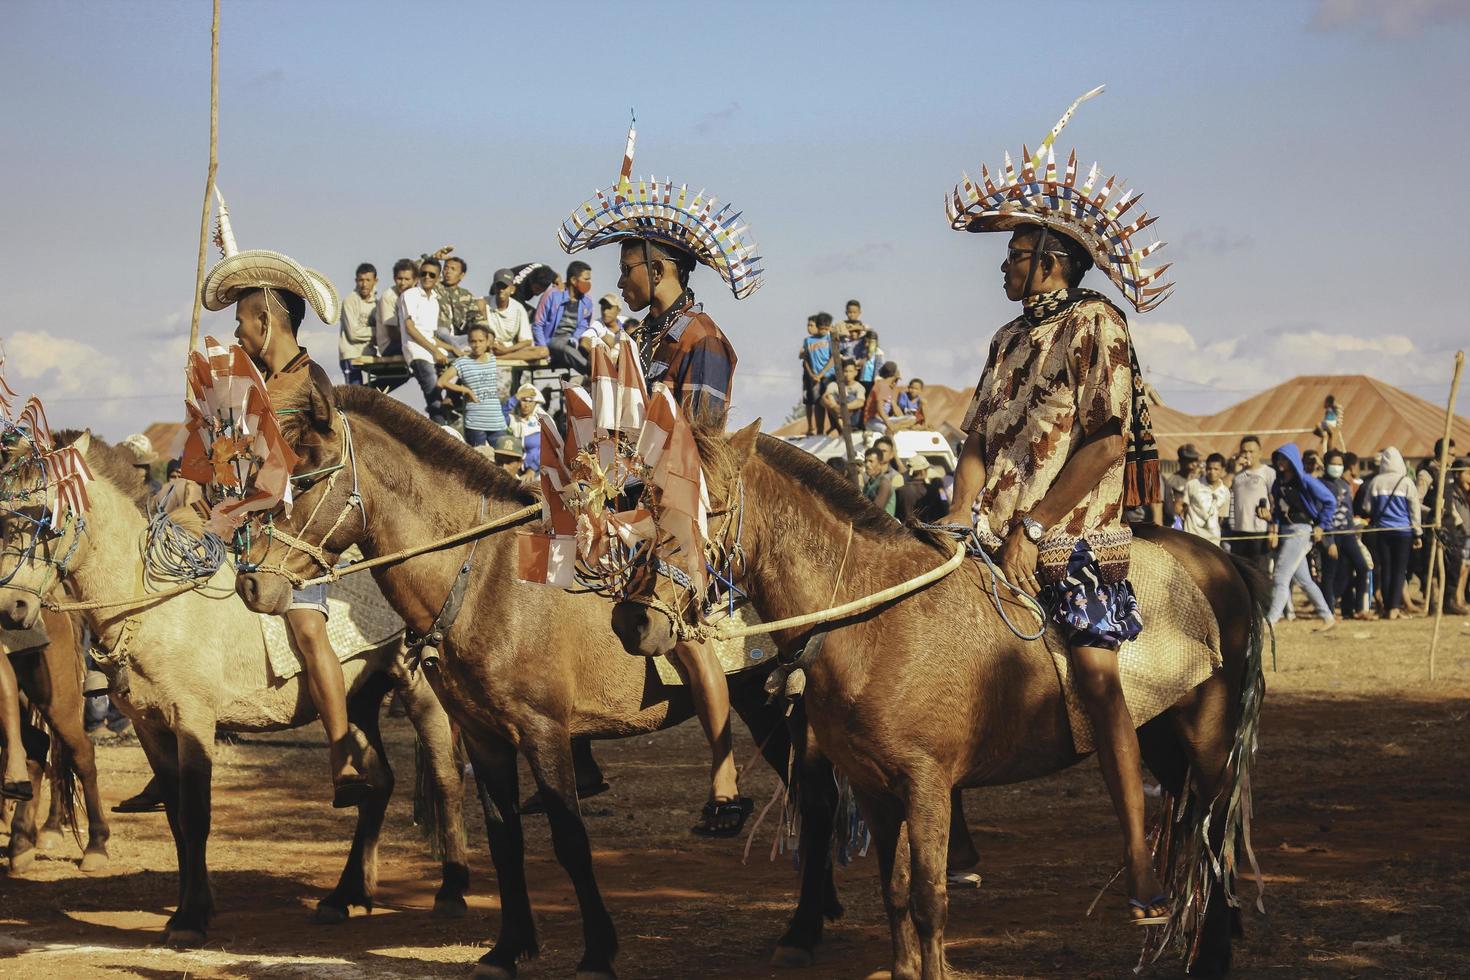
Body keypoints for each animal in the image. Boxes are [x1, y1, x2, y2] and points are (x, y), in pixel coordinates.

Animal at [235, 384, 846, 980]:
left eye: (305, 478)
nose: (250, 584)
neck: (484, 578)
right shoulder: (483, 735)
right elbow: (504, 840)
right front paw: (507, 949)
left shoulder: (543, 730)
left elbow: (570, 840)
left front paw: (597, 953)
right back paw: (820, 910)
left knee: (817, 799)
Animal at [605, 429, 1264, 980]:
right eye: (644, 498)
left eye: (703, 507)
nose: (630, 620)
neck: (872, 620)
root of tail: (1222, 559)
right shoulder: (873, 787)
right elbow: (895, 893)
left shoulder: (925, 785)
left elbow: (928, 899)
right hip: (1160, 736)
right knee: (1196, 827)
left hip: (1207, 737)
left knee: (1213, 835)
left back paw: (1209, 951)